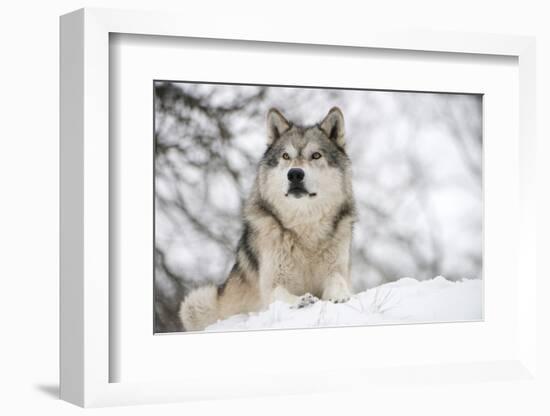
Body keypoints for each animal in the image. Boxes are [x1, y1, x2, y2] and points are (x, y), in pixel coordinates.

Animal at [180, 107, 358, 332]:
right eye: (286, 156)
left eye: (316, 155)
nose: (295, 174)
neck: (304, 229)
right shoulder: (271, 284)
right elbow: (280, 294)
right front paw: (302, 301)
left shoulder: (337, 270)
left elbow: (338, 281)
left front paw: (339, 296)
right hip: (197, 301)